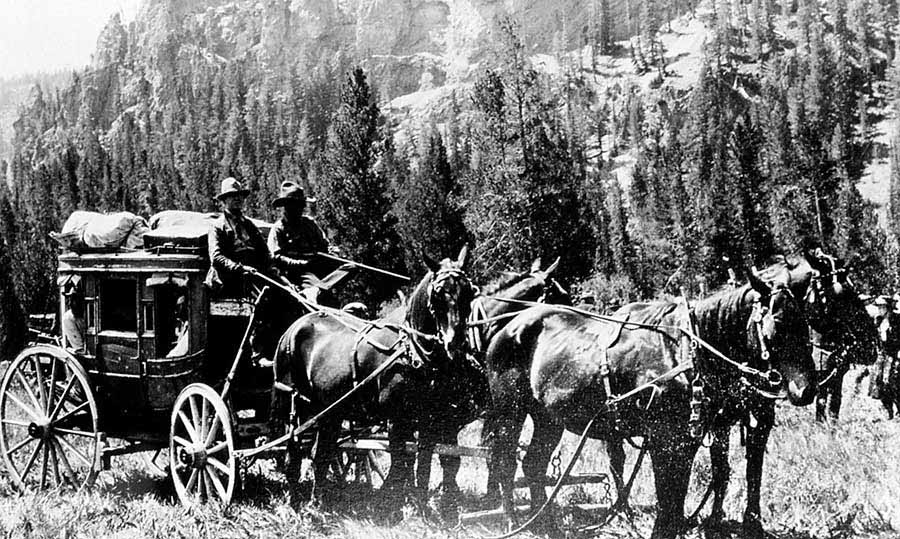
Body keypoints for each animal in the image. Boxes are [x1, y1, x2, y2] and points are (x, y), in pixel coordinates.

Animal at [272, 247, 478, 504]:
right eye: (438, 293)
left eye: (469, 292)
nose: (455, 342)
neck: (411, 350)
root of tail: (293, 327)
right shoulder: (398, 421)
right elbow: (400, 466)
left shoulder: (429, 421)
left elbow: (424, 467)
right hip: (295, 404)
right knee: (293, 453)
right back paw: (294, 500)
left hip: (329, 410)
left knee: (321, 454)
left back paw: (319, 501)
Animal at [486, 270, 816, 539]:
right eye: (776, 327)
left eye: (805, 324)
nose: (806, 390)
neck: (686, 352)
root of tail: (505, 328)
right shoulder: (662, 440)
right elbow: (667, 501)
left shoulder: (687, 440)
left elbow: (678, 499)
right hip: (509, 413)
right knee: (504, 464)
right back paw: (512, 521)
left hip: (547, 419)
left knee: (533, 465)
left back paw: (547, 526)